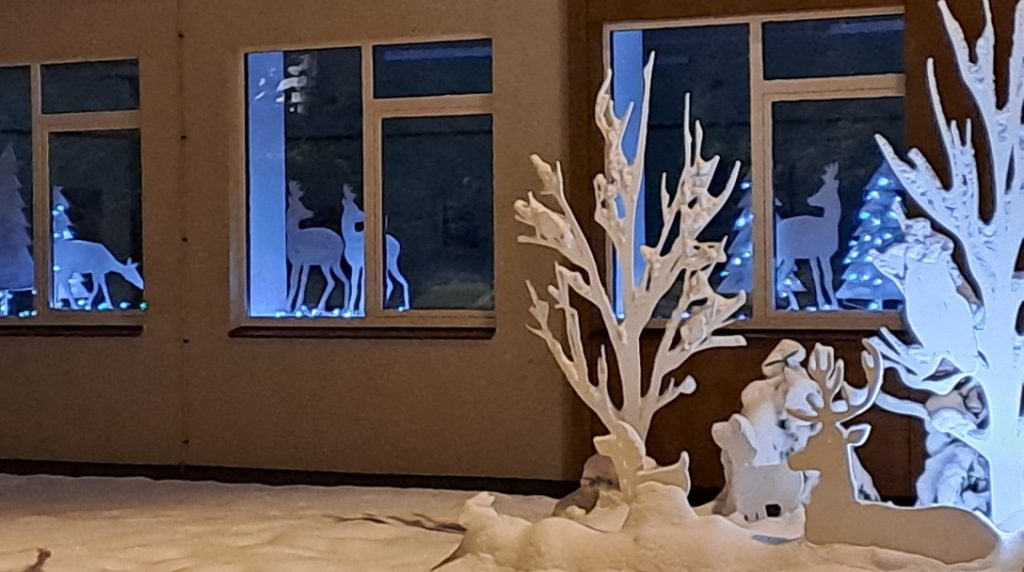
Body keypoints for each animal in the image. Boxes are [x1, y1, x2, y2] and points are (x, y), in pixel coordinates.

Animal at [285, 181, 349, 314]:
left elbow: (296, 281)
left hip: (325, 262)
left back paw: (320, 308)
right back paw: (344, 308)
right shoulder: (305, 262)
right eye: (299, 205)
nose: (312, 212)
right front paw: (295, 307)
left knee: (331, 282)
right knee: (345, 280)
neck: (294, 235)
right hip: (335, 263)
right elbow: (300, 281)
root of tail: (342, 243)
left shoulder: (299, 261)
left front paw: (290, 307)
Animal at [340, 184, 410, 314]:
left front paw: (353, 309)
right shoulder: (357, 265)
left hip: (391, 263)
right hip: (387, 266)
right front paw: (356, 309)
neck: (350, 238)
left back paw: (404, 307)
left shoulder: (357, 264)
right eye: (354, 209)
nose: (364, 216)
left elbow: (356, 283)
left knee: (401, 281)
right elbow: (358, 283)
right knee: (391, 283)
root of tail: (397, 244)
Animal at [775, 162, 840, 310]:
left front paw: (822, 303)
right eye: (821, 188)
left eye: (825, 190)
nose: (809, 199)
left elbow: (817, 275)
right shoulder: (823, 253)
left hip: (788, 258)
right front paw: (835, 304)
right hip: (784, 256)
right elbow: (827, 277)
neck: (829, 224)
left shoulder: (813, 254)